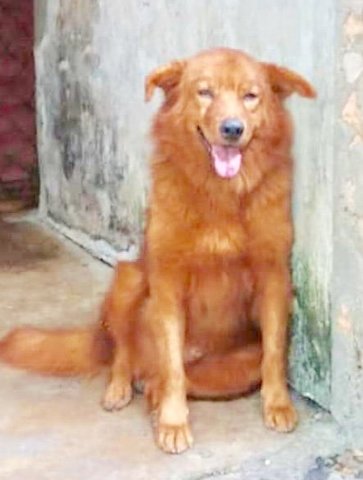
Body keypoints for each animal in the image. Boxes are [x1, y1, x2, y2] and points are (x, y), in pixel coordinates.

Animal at [0, 48, 316, 454]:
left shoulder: (274, 276)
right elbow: (172, 367)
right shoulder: (166, 281)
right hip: (128, 280)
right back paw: (121, 389)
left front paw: (278, 404)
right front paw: (173, 422)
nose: (232, 129)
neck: (221, 194)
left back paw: (152, 396)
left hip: (239, 364)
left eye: (251, 96)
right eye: (204, 92)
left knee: (164, 381)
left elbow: (274, 354)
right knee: (127, 357)